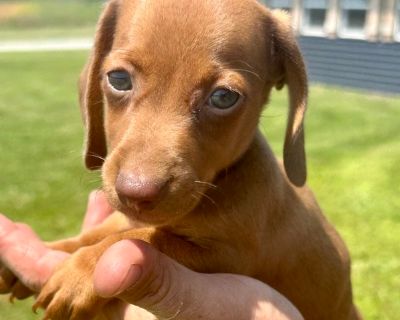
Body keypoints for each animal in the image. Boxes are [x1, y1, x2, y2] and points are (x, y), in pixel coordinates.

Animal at [18, 0, 364, 320]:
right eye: (118, 79)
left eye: (224, 97)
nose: (135, 194)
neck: (216, 185)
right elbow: (101, 232)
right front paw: (59, 248)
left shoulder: (227, 256)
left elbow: (141, 238)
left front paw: (81, 269)